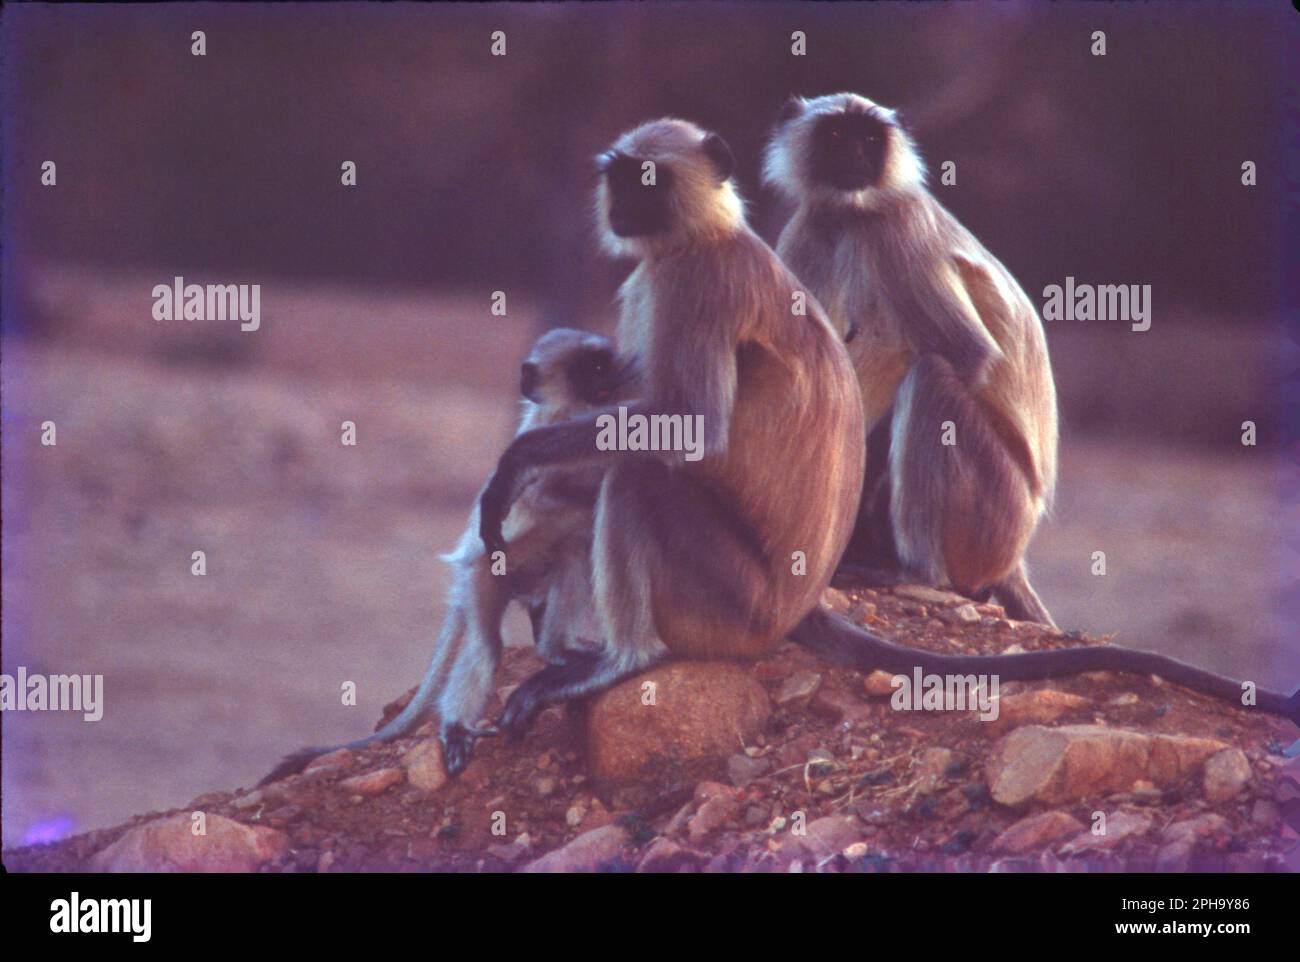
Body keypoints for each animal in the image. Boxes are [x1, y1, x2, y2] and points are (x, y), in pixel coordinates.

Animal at [256, 328, 631, 780]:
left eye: (603, 364)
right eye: (590, 368)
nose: (612, 377)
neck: (569, 408)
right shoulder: (547, 429)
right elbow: (542, 492)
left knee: (573, 553)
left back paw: (556, 650)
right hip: (485, 575)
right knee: (487, 645)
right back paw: (457, 725)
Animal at [769, 94, 1055, 626]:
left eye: (869, 138)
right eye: (836, 135)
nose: (855, 157)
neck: (853, 215)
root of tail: (1016, 556)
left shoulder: (898, 224)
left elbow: (967, 351)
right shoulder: (809, 227)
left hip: (996, 515)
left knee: (931, 378)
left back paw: (916, 572)